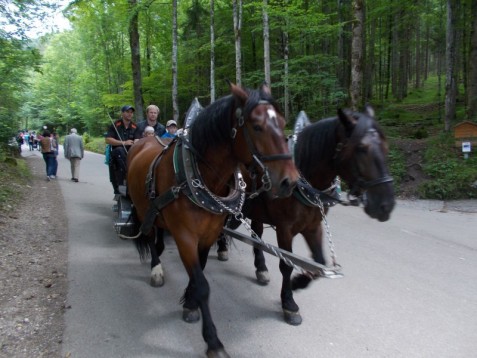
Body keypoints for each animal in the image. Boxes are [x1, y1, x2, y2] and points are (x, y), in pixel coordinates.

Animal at [125, 83, 298, 358]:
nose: (289, 181)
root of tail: (144, 140)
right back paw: (156, 269)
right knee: (150, 237)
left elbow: (201, 272)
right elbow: (203, 284)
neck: (200, 176)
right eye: (256, 126)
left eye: (282, 123)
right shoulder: (185, 237)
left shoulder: (209, 234)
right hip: (143, 209)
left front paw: (189, 301)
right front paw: (213, 341)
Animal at [217, 105, 394, 324]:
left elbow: (320, 263)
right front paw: (289, 303)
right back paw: (222, 249)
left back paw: (261, 269)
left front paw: (297, 283)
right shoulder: (284, 229)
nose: (386, 206)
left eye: (386, 147)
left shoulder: (313, 226)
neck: (303, 180)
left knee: (256, 236)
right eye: (361, 148)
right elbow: (286, 264)